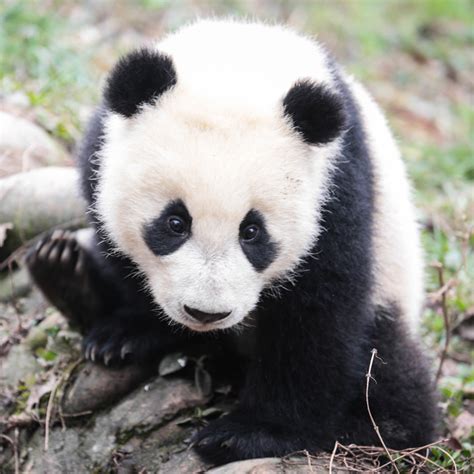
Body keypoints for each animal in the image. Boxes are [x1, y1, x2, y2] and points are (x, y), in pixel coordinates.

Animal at [27, 19, 438, 462]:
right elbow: (120, 252)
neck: (237, 68)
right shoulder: (102, 153)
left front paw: (249, 433)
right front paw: (126, 333)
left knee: (388, 367)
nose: (205, 313)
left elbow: (318, 311)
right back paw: (64, 274)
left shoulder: (337, 188)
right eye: (175, 222)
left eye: (252, 231)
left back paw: (376, 426)